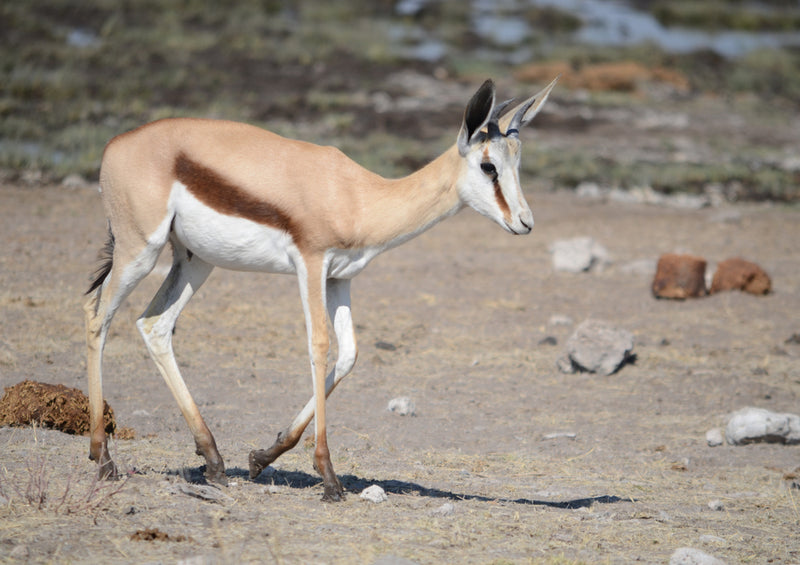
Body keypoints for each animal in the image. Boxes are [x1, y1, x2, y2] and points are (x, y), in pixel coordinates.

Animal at [81, 76, 556, 498]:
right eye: (488, 165)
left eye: (516, 164)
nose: (525, 222)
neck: (359, 196)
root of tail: (115, 144)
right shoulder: (310, 264)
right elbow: (320, 346)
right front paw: (329, 479)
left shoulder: (339, 277)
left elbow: (349, 354)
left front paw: (262, 457)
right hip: (140, 251)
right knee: (97, 316)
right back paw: (103, 459)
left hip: (195, 262)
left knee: (154, 325)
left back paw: (214, 462)